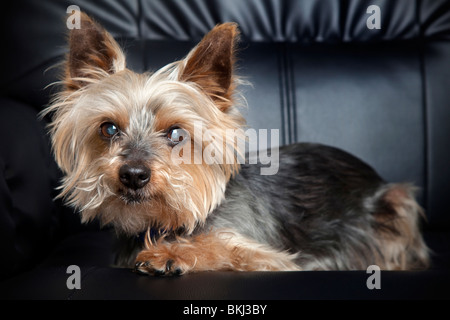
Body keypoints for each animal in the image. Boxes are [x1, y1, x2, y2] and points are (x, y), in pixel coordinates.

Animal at [44, 11, 430, 274]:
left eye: (176, 134)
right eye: (108, 129)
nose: (134, 174)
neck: (162, 223)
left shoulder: (273, 257)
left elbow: (225, 248)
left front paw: (171, 253)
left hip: (395, 207)